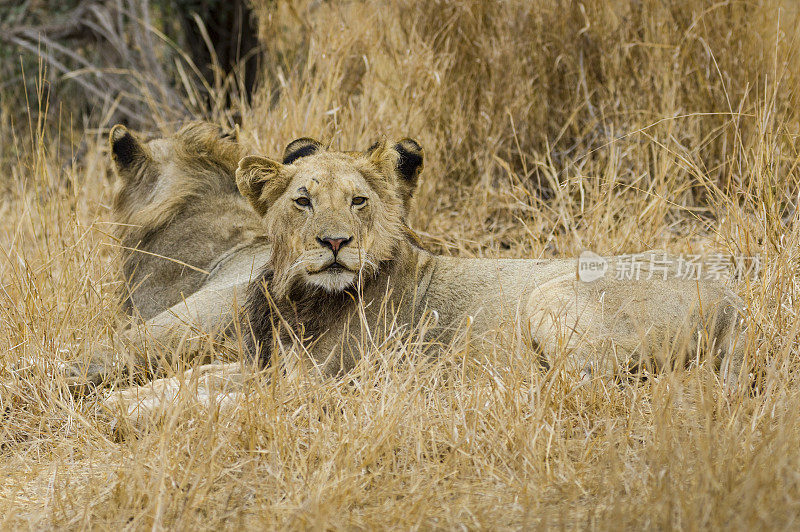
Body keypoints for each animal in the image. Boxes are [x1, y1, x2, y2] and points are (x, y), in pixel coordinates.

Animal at [103, 136, 748, 424]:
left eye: (359, 201)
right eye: (303, 200)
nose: (335, 243)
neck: (301, 302)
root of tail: (729, 297)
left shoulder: (321, 384)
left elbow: (220, 397)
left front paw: (136, 412)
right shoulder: (269, 364)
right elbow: (197, 376)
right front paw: (124, 398)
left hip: (552, 297)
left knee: (584, 389)